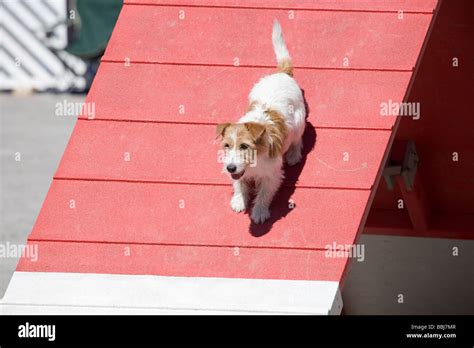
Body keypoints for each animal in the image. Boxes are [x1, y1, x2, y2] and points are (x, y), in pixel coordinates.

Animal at [216, 20, 306, 224]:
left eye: (244, 146)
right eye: (226, 145)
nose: (230, 167)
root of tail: (282, 74)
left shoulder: (271, 176)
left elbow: (264, 193)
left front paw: (259, 212)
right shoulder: (238, 172)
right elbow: (239, 183)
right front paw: (239, 200)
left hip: (298, 123)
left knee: (298, 140)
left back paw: (293, 154)